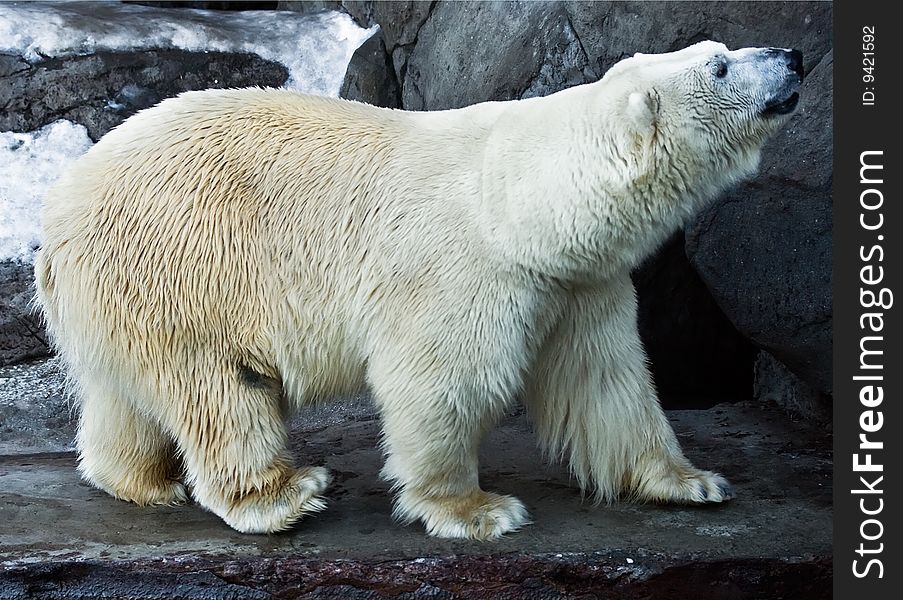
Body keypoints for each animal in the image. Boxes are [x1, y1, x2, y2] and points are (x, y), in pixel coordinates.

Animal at [35, 42, 804, 540]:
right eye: (720, 65)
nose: (794, 55)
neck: (517, 204)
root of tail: (61, 208)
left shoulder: (578, 283)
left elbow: (606, 380)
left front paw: (691, 482)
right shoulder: (462, 271)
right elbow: (443, 382)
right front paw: (477, 510)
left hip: (125, 293)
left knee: (127, 395)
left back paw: (141, 480)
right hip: (186, 267)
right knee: (222, 389)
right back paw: (284, 494)